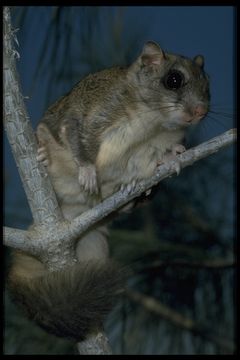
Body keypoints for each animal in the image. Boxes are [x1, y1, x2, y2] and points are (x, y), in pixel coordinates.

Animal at [7, 40, 210, 342]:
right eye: (173, 80)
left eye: (208, 84)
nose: (200, 112)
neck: (154, 123)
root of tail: (75, 212)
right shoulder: (90, 114)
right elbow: (77, 137)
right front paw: (88, 171)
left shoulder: (155, 146)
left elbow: (159, 157)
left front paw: (173, 158)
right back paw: (45, 156)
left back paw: (133, 194)